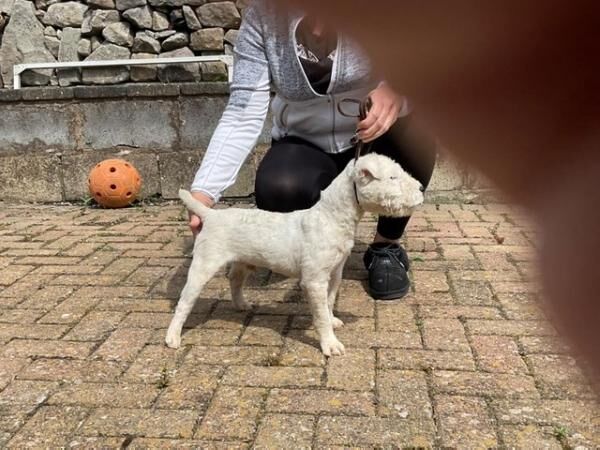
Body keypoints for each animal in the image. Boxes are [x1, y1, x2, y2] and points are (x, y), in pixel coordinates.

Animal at [166, 155, 424, 356]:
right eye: (393, 178)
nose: (422, 188)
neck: (330, 217)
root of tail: (211, 215)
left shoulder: (334, 273)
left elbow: (329, 302)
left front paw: (332, 320)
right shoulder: (314, 280)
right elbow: (320, 315)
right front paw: (330, 344)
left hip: (243, 261)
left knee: (235, 279)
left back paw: (241, 304)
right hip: (204, 264)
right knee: (185, 301)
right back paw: (173, 336)